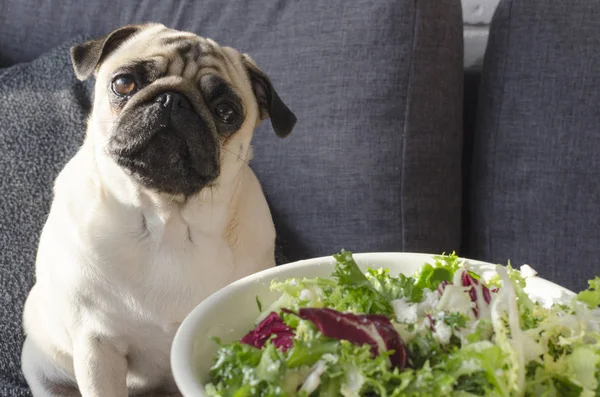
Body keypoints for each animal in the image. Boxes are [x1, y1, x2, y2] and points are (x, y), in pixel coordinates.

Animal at [19, 22, 296, 396]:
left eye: (227, 112)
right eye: (123, 83)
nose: (173, 99)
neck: (165, 221)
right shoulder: (96, 347)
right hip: (41, 367)